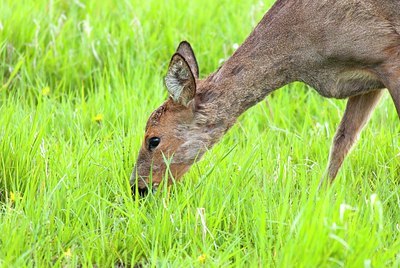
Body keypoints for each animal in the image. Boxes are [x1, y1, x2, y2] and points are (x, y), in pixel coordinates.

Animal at [131, 0, 400, 197]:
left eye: (153, 139)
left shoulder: (387, 55)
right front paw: (318, 200)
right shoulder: (367, 82)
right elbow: (342, 141)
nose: (137, 187)